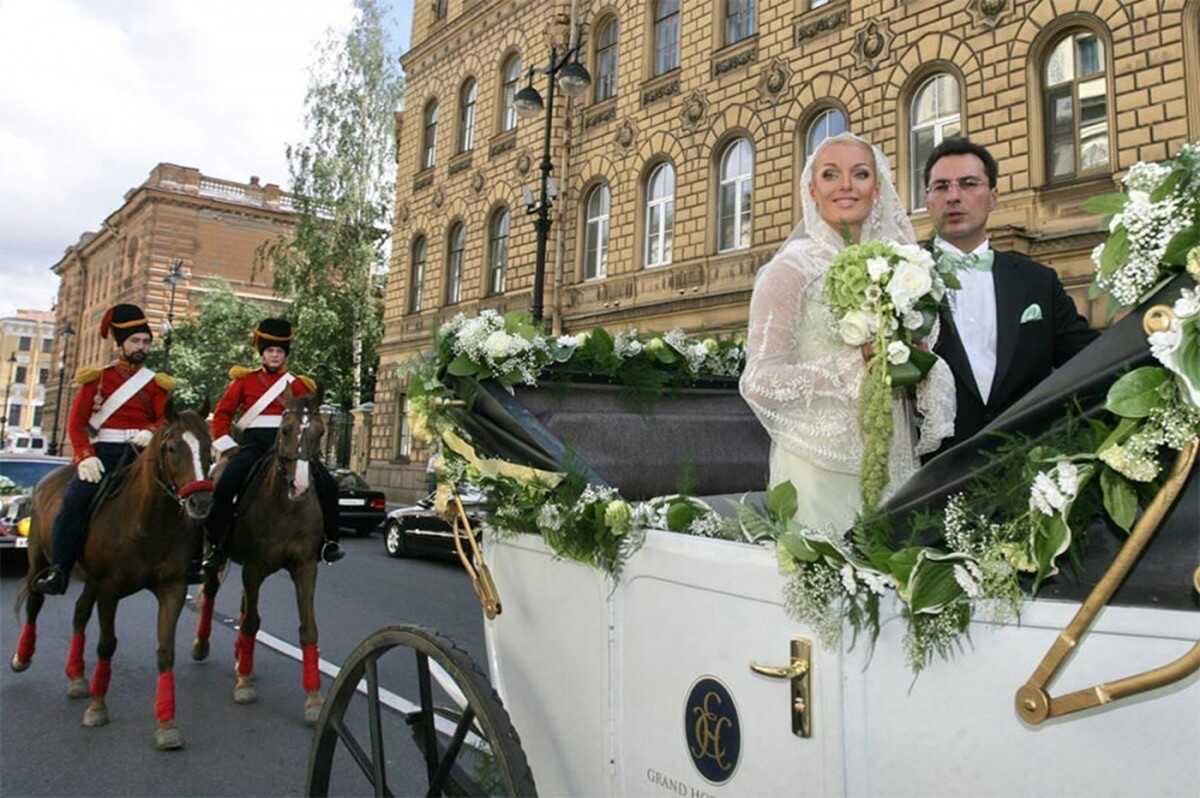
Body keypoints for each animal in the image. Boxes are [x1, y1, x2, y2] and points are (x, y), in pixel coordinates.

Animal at [8, 408, 213, 748]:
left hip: (89, 578)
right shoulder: (109, 589)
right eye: (172, 448)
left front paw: (166, 723)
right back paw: (22, 657)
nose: (202, 503)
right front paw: (97, 707)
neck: (149, 522)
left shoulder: (172, 588)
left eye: (209, 445)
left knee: (79, 613)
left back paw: (77, 676)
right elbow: (106, 644)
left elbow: (165, 650)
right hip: (39, 560)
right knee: (35, 602)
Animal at [194, 391, 331, 720]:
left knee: (244, 605)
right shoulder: (254, 567)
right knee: (211, 594)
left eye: (320, 432)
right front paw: (244, 684)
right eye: (285, 429)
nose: (300, 486)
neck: (288, 509)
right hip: (219, 558)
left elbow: (308, 628)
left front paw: (314, 699)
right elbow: (251, 622)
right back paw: (203, 645)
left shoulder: (306, 568)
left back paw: (240, 656)